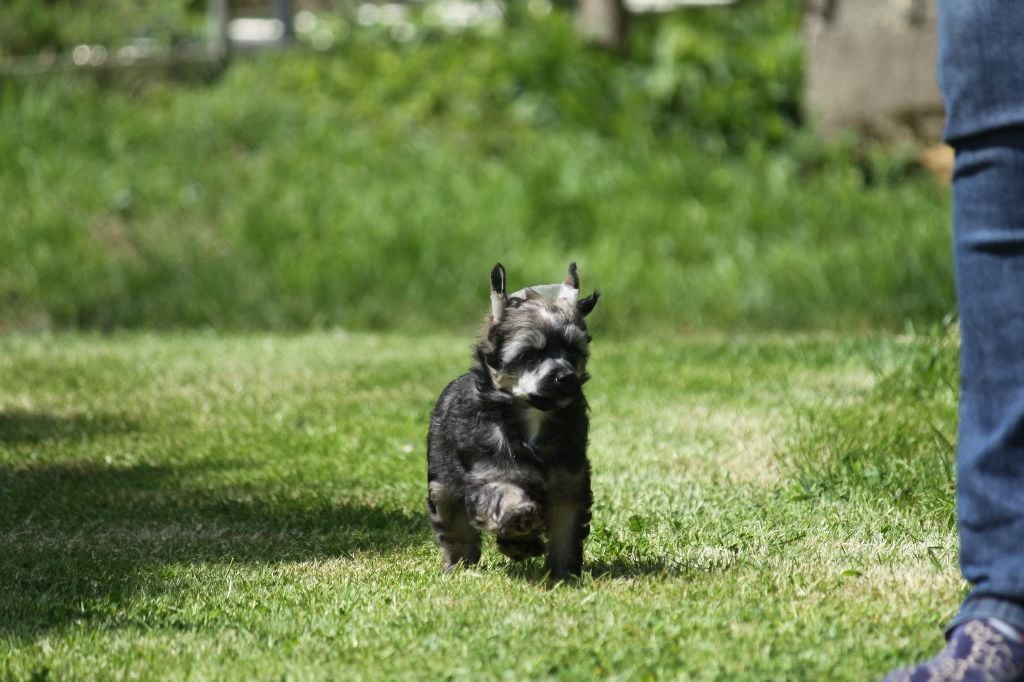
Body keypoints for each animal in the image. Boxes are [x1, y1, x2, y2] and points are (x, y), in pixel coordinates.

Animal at [425, 262, 598, 577]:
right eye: (529, 355)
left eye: (572, 353)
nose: (565, 377)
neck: (533, 419)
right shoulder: (490, 473)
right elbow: (504, 497)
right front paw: (520, 525)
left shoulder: (569, 483)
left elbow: (566, 529)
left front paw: (564, 573)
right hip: (442, 487)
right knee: (456, 529)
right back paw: (459, 565)